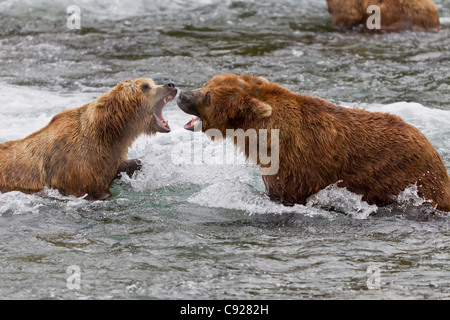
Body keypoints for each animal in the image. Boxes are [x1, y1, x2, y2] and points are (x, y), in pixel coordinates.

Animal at [0, 78, 177, 200]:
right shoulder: (80, 169)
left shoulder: (108, 158)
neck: (109, 133)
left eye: (153, 81)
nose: (170, 85)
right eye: (146, 86)